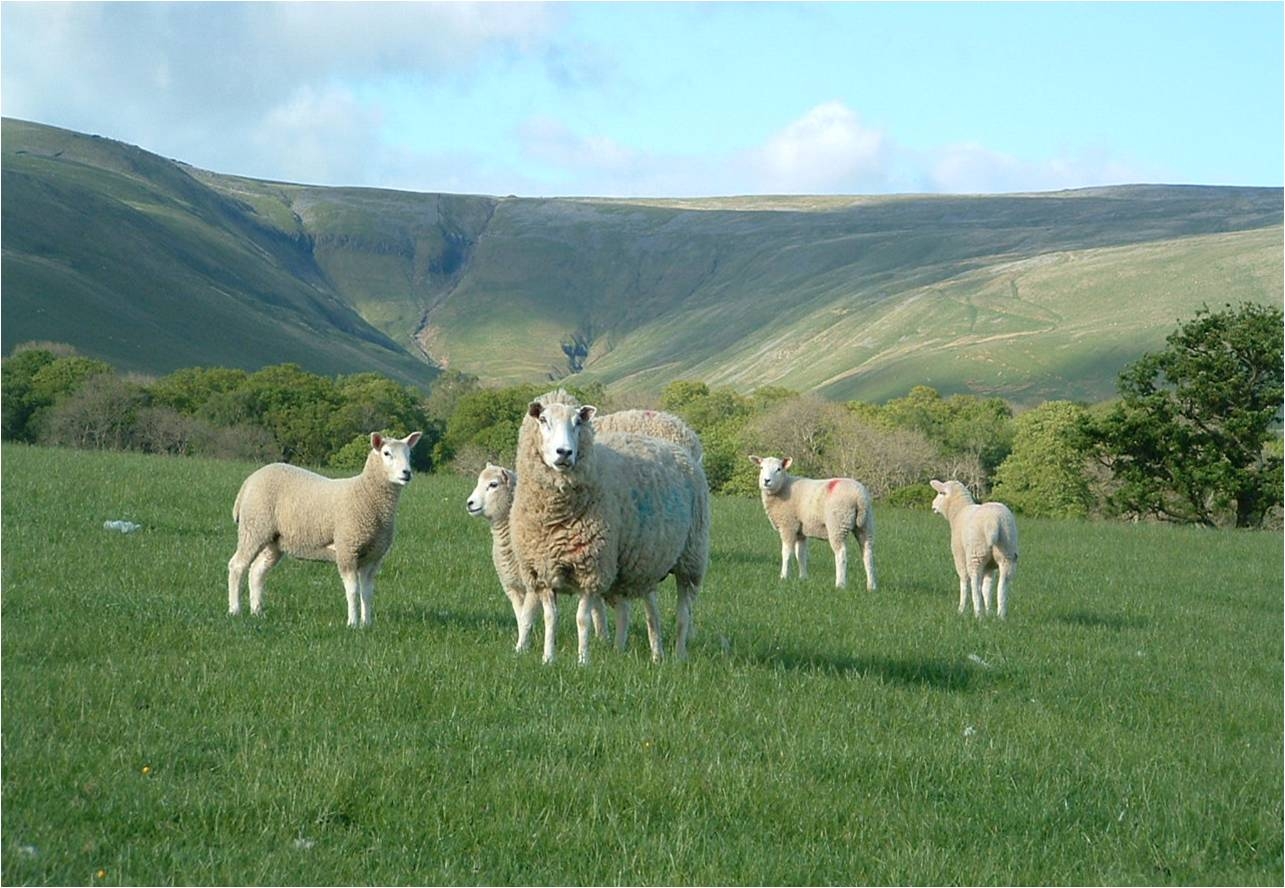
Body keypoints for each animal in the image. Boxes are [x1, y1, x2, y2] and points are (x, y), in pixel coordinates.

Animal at [228, 431, 422, 627]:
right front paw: (352, 623)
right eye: (386, 453)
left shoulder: (373, 556)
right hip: (254, 528)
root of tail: (249, 481)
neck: (367, 495)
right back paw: (235, 610)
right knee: (237, 566)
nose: (407, 473)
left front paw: (367, 624)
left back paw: (257, 612)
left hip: (273, 540)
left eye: (409, 454)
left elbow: (367, 592)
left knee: (257, 572)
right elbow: (353, 590)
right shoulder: (346, 549)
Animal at [465, 462, 608, 646]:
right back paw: (602, 639)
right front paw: (525, 644)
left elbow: (526, 617)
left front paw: (521, 647)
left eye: (493, 484)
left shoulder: (532, 586)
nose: (469, 503)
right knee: (597, 605)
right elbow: (520, 618)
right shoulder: (512, 588)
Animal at [510, 389, 710, 664]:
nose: (564, 452)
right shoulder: (544, 569)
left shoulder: (592, 568)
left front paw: (583, 660)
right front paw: (548, 658)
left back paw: (679, 656)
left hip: (691, 557)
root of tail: (682, 449)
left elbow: (582, 619)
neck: (556, 519)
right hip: (649, 558)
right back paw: (652, 654)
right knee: (651, 611)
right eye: (543, 420)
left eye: (578, 422)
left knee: (683, 613)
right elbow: (551, 617)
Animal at [747, 455, 876, 591]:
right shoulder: (800, 531)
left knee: (841, 554)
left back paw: (840, 584)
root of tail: (859, 496)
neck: (783, 487)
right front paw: (803, 578)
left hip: (838, 523)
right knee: (868, 553)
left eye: (779, 469)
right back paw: (871, 586)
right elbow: (801, 554)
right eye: (761, 467)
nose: (766, 481)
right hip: (866, 524)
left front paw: (783, 577)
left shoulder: (788, 525)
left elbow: (786, 553)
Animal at [929, 479, 1019, 618]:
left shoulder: (959, 555)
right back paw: (1001, 615)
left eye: (940, 493)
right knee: (1003, 584)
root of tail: (994, 521)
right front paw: (988, 611)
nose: (933, 506)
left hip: (976, 553)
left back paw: (978, 613)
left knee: (974, 583)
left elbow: (964, 581)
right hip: (1007, 550)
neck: (957, 512)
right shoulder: (989, 565)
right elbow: (987, 588)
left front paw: (961, 609)